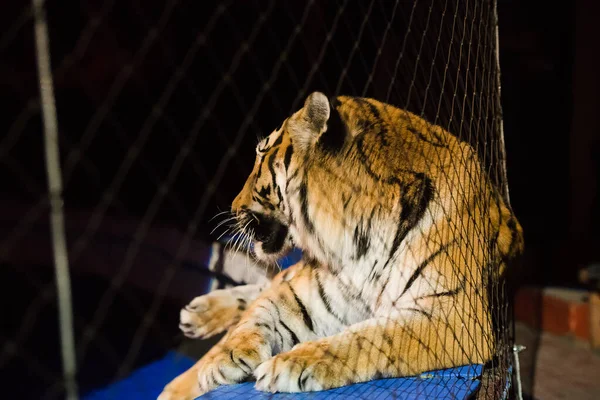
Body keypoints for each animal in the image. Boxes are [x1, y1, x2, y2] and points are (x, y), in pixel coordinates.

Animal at [157, 91, 524, 400]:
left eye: (262, 157)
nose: (233, 207)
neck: (360, 237)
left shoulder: (454, 313)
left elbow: (373, 337)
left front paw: (292, 363)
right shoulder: (309, 290)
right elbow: (257, 314)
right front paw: (221, 361)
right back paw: (197, 317)